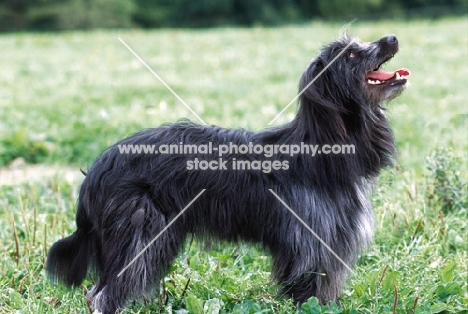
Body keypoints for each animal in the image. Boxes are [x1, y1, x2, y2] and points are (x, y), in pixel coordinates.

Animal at [45, 33, 408, 312]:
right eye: (350, 53)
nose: (392, 38)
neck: (320, 150)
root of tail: (99, 167)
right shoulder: (310, 244)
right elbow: (310, 291)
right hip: (140, 234)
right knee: (104, 294)